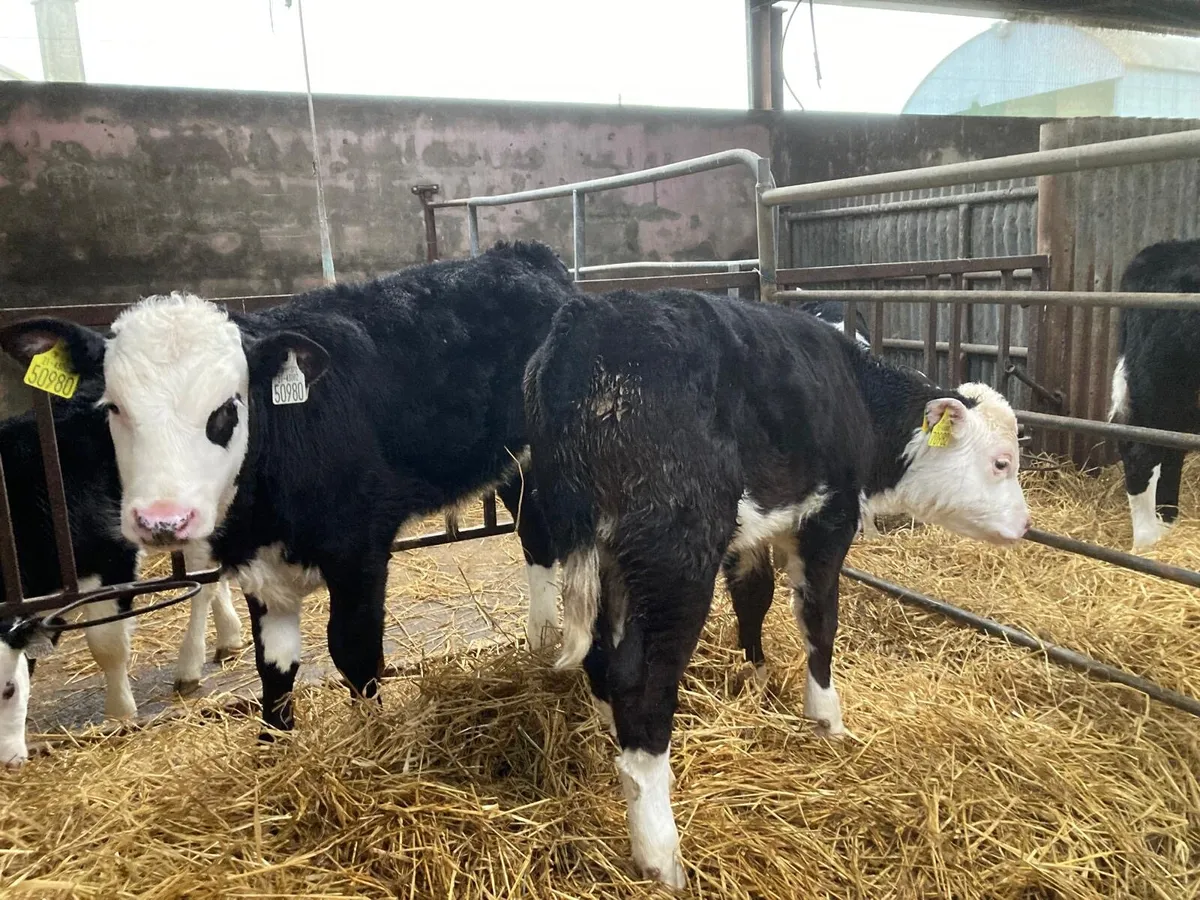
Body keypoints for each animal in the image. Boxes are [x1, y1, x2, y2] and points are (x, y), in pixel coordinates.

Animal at [0, 381, 242, 767]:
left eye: (9, 689)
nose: (8, 762)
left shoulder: (112, 558)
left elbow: (106, 643)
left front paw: (119, 716)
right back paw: (229, 637)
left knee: (203, 580)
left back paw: (189, 666)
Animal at [524, 287, 1030, 887]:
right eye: (1001, 463)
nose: (1025, 525)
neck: (856, 396)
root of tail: (587, 323)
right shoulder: (828, 519)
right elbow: (819, 619)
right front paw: (826, 716)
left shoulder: (756, 531)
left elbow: (754, 597)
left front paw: (757, 678)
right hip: (675, 555)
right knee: (641, 682)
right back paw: (659, 850)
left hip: (602, 553)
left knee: (604, 656)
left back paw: (613, 729)